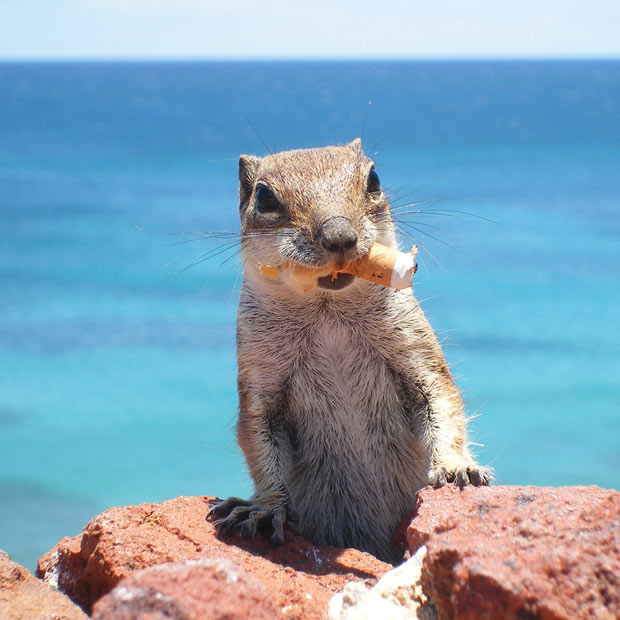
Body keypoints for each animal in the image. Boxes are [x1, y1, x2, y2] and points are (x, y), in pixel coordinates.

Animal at [211, 139, 492, 560]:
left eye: (374, 178)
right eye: (264, 197)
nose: (339, 235)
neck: (329, 314)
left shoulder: (416, 353)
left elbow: (443, 401)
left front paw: (456, 466)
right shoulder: (260, 380)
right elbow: (259, 440)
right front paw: (264, 506)